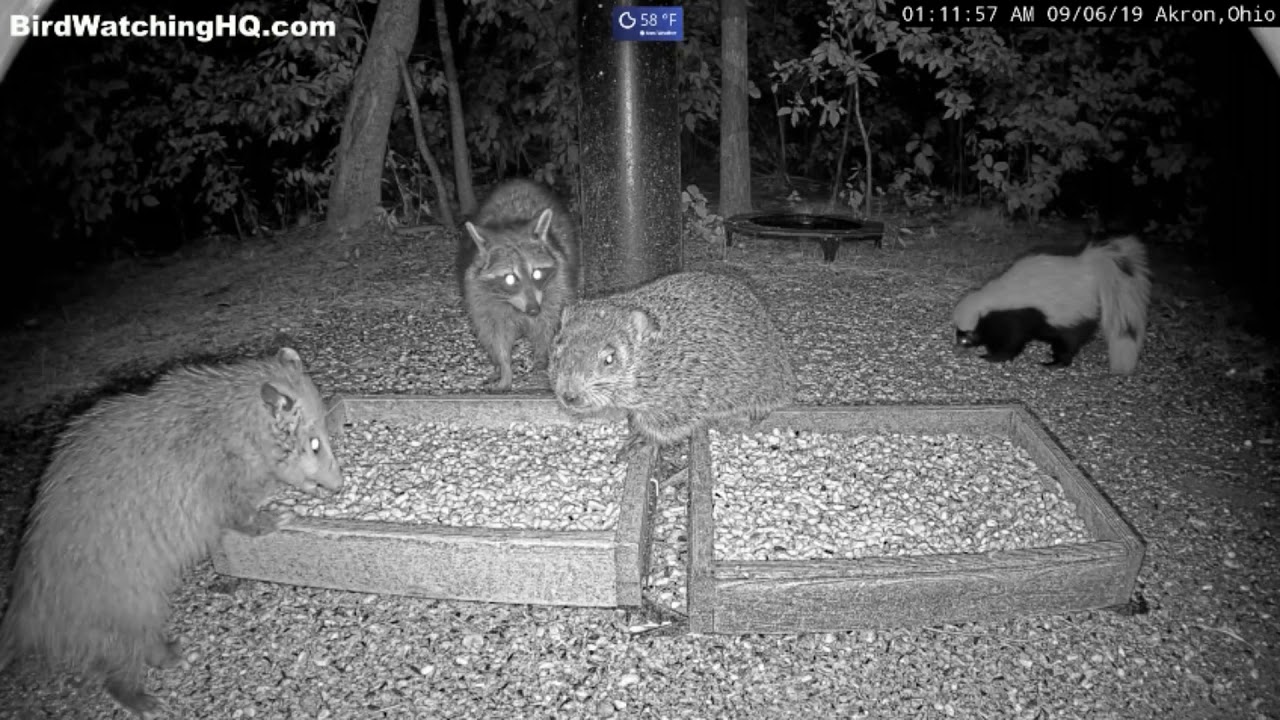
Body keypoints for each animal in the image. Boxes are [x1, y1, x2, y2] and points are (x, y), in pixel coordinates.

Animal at [458, 179, 581, 392]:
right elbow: (495, 336)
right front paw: (505, 369)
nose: (533, 310)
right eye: (510, 278)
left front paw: (542, 362)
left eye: (537, 273)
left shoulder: (556, 287)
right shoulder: (481, 297)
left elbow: (548, 328)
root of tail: (518, 181)